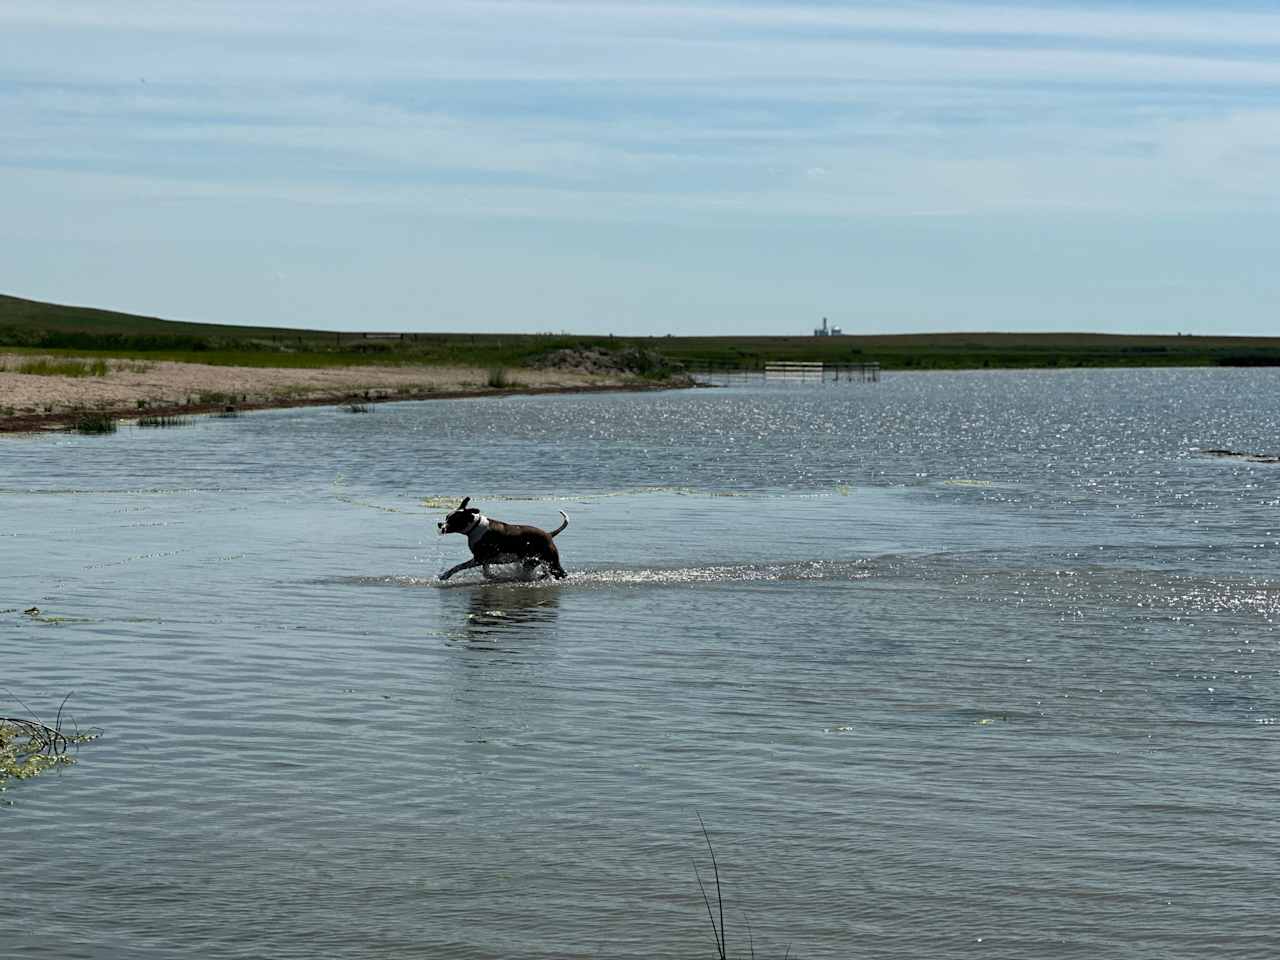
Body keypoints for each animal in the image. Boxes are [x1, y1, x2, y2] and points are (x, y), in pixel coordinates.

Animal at [437, 499, 568, 583]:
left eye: (452, 520)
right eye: (446, 517)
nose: (439, 524)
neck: (475, 526)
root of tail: (549, 534)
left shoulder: (478, 559)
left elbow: (458, 567)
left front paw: (445, 575)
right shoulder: (485, 560)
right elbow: (486, 572)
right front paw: (493, 577)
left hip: (551, 561)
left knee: (562, 574)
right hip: (531, 562)